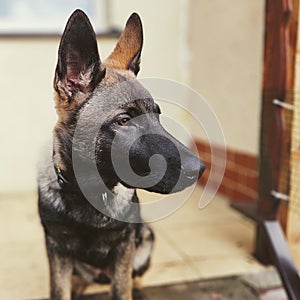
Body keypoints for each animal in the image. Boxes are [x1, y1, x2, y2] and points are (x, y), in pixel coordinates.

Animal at [38, 9, 206, 300]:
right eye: (124, 121)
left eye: (157, 115)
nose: (200, 168)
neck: (91, 192)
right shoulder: (56, 249)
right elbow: (59, 290)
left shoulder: (124, 247)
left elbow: (122, 287)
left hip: (145, 238)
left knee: (133, 277)